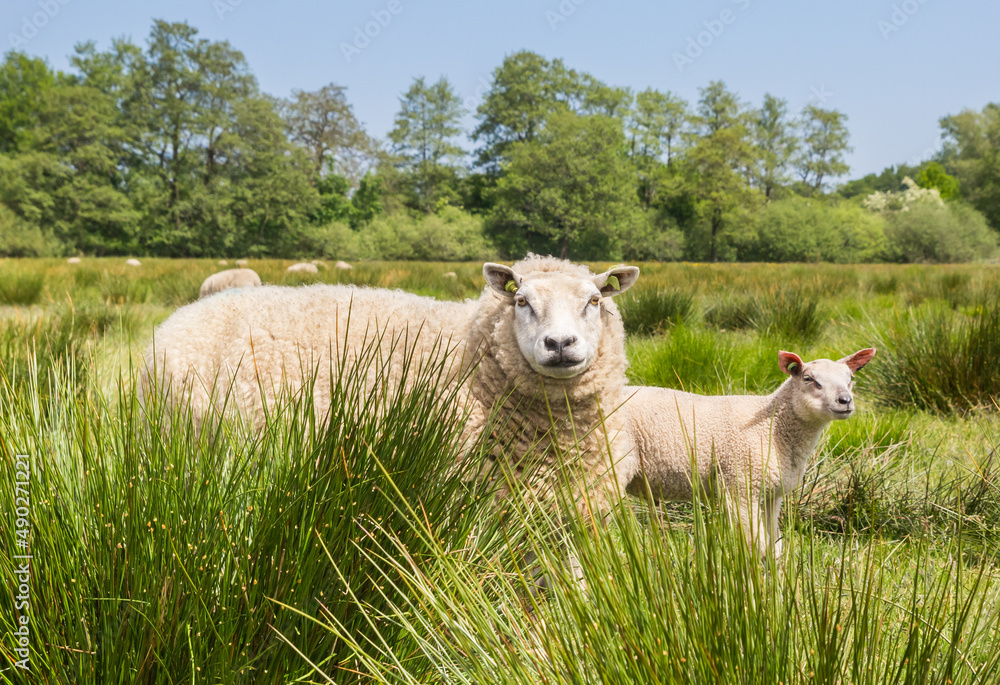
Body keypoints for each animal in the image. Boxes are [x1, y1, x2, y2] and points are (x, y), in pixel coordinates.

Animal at [624, 344, 876, 560]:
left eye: (851, 379)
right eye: (808, 379)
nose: (845, 400)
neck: (774, 427)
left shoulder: (772, 494)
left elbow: (775, 548)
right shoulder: (740, 486)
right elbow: (757, 548)